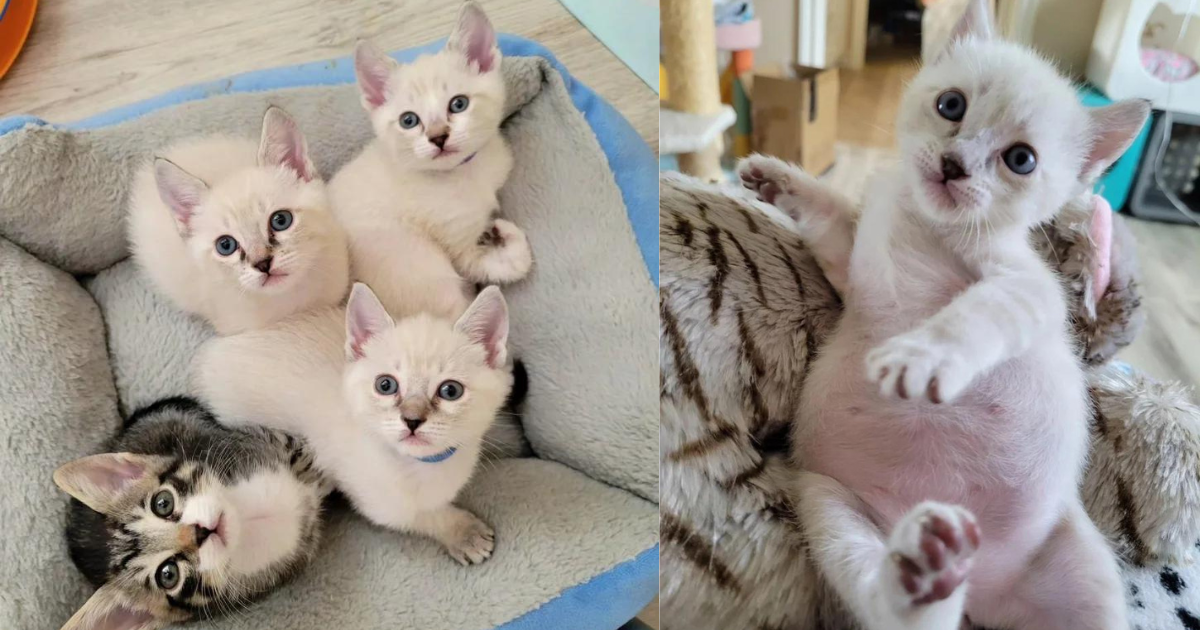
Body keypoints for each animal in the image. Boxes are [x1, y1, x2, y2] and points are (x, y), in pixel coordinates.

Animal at [189, 284, 508, 564]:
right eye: (386, 385)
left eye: (450, 391)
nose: (412, 420)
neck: (424, 466)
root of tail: (208, 352)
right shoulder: (379, 503)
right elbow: (423, 516)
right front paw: (464, 533)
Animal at [331, 0, 532, 284]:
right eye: (408, 120)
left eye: (459, 104)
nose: (438, 137)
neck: (465, 174)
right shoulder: (461, 248)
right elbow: (508, 265)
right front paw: (504, 233)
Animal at [734, 1, 1147, 628]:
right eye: (951, 105)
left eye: (1020, 159)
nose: (955, 164)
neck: (926, 223)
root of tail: (980, 588)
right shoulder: (852, 263)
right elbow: (829, 211)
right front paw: (779, 178)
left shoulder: (1028, 291)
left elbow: (972, 318)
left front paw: (920, 356)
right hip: (831, 505)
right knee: (899, 608)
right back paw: (922, 570)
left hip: (1089, 575)